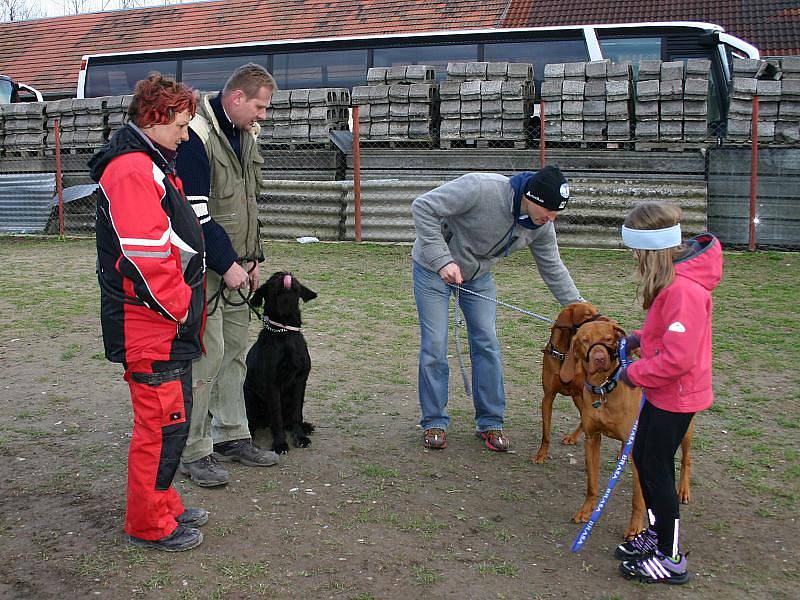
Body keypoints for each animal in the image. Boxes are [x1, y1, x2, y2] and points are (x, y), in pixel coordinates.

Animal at [245, 270, 318, 452]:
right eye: (273, 279)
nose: (284, 274)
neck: (285, 332)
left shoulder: (300, 381)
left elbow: (297, 413)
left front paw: (300, 437)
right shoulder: (272, 384)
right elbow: (276, 417)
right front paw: (280, 443)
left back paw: (305, 426)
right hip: (249, 397)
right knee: (250, 421)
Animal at [532, 300, 600, 464]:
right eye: (587, 314)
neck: (564, 355)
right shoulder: (548, 397)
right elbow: (546, 433)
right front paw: (541, 454)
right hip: (577, 397)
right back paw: (573, 437)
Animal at [556, 318, 692, 540]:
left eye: (607, 339)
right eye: (585, 340)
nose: (599, 358)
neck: (603, 389)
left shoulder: (637, 451)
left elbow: (638, 499)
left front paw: (635, 528)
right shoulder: (592, 439)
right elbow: (591, 484)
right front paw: (586, 511)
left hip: (684, 430)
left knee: (687, 459)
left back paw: (683, 490)